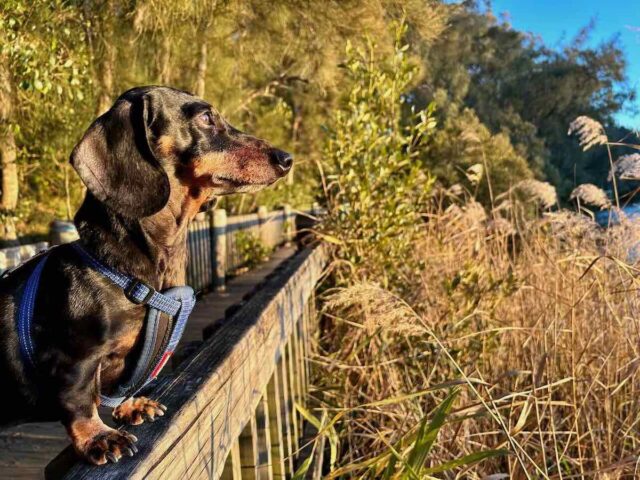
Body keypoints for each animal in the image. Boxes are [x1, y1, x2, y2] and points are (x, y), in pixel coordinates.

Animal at [0, 86, 292, 464]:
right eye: (206, 117)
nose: (286, 158)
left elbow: (121, 386)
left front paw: (131, 406)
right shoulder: (74, 361)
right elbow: (79, 401)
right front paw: (98, 437)